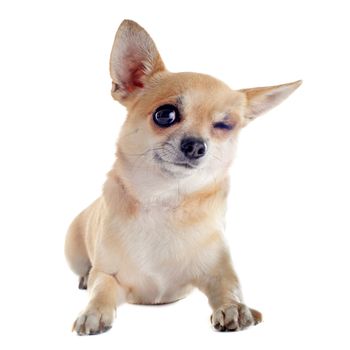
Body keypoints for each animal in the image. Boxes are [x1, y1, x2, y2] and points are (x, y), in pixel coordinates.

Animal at [65, 19, 300, 336]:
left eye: (225, 125)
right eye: (165, 115)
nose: (197, 145)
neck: (165, 199)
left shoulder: (219, 271)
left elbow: (229, 286)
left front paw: (234, 307)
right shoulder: (110, 273)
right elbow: (101, 287)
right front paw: (93, 312)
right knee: (86, 272)